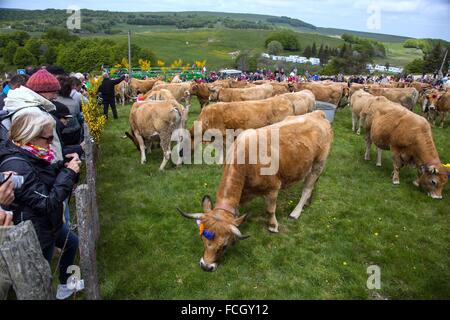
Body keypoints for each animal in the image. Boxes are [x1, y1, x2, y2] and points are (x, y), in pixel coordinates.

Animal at [178, 111, 332, 272]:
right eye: (202, 238)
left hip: (318, 163)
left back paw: (296, 211)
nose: (206, 266)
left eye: (224, 246)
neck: (246, 159)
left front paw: (273, 226)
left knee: (307, 189)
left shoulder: (273, 189)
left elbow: (270, 210)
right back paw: (308, 202)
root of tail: (318, 114)